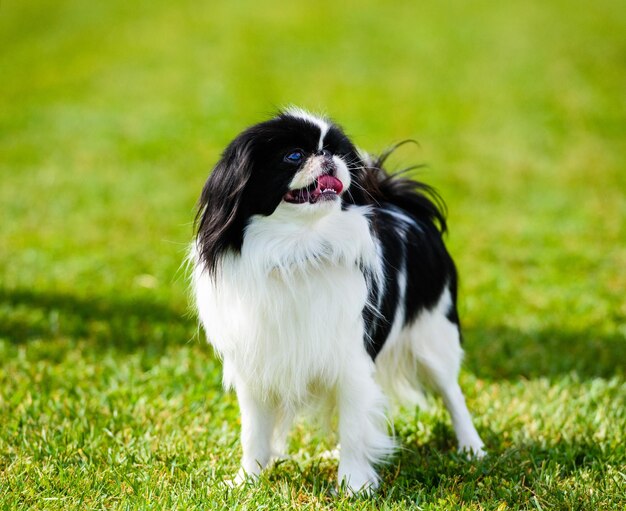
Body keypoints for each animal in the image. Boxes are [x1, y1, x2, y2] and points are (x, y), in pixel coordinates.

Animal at [190, 109, 482, 496]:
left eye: (335, 150)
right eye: (294, 155)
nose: (328, 157)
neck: (297, 249)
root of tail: (404, 206)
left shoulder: (352, 363)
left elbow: (356, 429)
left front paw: (354, 485)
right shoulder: (257, 369)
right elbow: (254, 433)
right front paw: (246, 481)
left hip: (434, 340)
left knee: (453, 394)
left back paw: (472, 448)